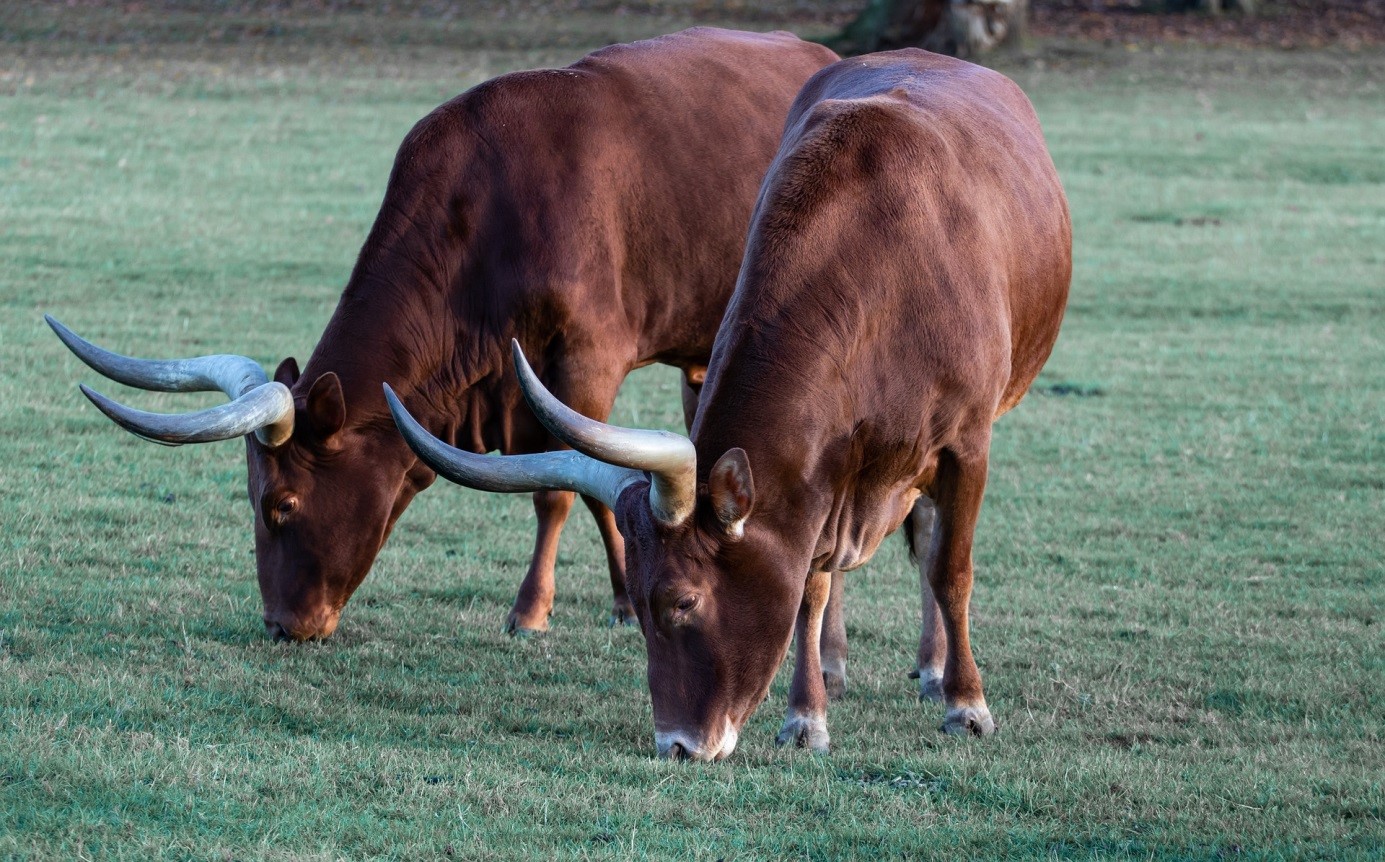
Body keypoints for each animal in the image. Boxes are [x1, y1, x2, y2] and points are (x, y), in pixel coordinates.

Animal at [390, 50, 1069, 759]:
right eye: (638, 607)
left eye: (685, 602)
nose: (676, 745)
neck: (883, 260)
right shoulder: (819, 471)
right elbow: (809, 588)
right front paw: (806, 716)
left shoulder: (967, 446)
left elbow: (951, 570)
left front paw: (968, 704)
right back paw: (836, 665)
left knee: (934, 542)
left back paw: (936, 671)